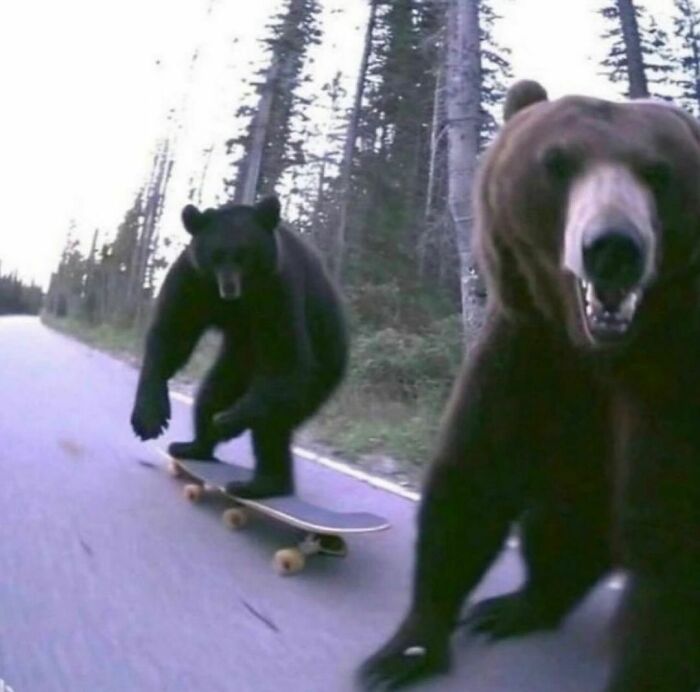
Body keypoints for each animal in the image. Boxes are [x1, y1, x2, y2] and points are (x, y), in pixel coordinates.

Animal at [130, 195, 348, 499]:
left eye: (244, 255)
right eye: (216, 255)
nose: (229, 288)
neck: (242, 300)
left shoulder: (280, 288)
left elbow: (286, 356)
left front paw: (230, 420)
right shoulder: (192, 279)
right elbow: (172, 334)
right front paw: (149, 417)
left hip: (321, 370)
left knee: (273, 420)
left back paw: (262, 482)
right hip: (237, 361)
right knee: (212, 393)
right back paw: (194, 446)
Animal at [359, 81, 700, 691]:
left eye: (658, 171)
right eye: (557, 162)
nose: (613, 246)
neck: (598, 352)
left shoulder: (673, 376)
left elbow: (672, 542)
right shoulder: (530, 349)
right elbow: (475, 473)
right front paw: (406, 648)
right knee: (556, 523)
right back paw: (512, 606)